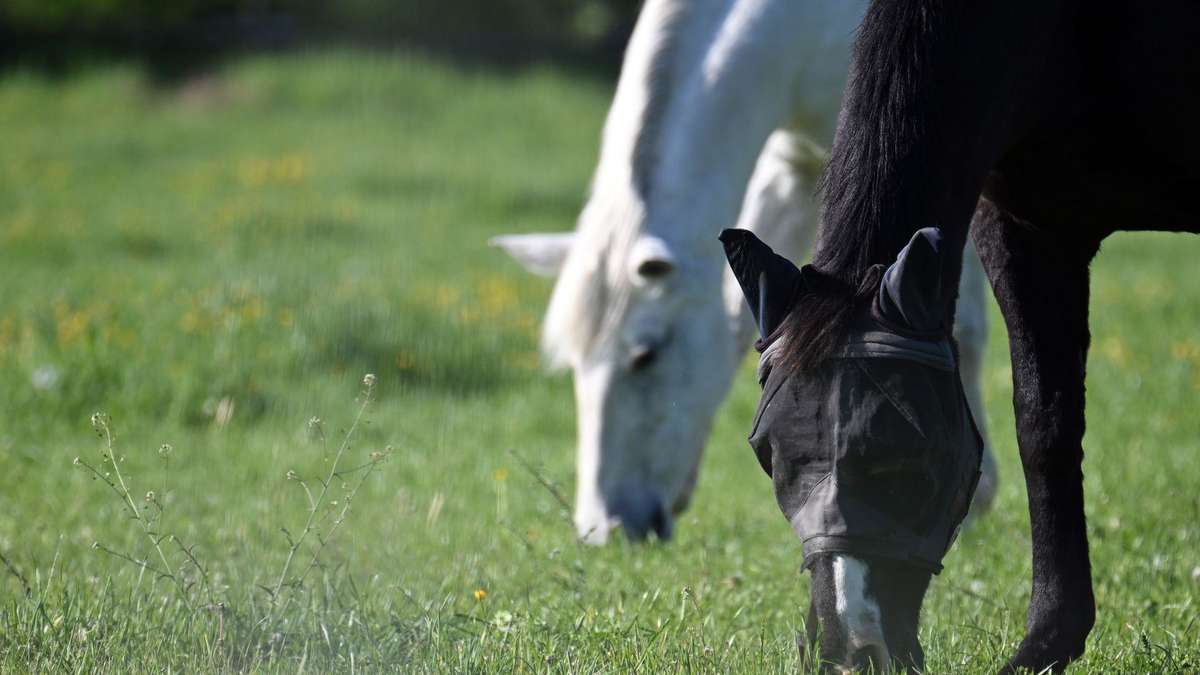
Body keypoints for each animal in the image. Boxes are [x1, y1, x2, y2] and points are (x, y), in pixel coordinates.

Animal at [746, 1, 1200, 671]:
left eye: (909, 457)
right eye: (768, 453)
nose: (855, 650)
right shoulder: (1024, 228)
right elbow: (1044, 428)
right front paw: (1048, 640)